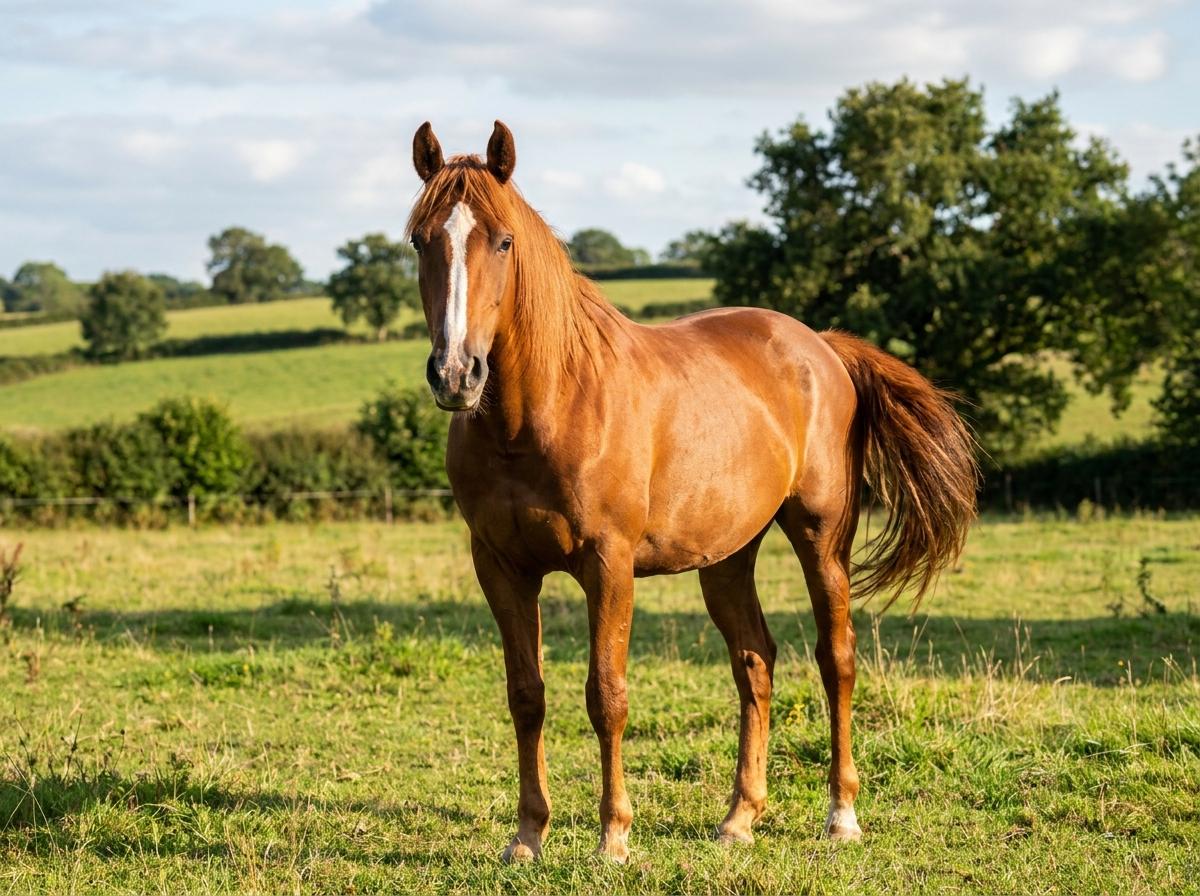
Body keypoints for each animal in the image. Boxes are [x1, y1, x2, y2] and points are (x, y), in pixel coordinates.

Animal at [405, 120, 978, 863]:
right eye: (421, 240)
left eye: (502, 241)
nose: (456, 374)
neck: (546, 408)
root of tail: (821, 347)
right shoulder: (500, 567)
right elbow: (526, 694)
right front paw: (528, 835)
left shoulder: (608, 564)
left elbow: (607, 695)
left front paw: (614, 836)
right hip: (728, 557)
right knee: (755, 662)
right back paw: (740, 817)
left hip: (822, 538)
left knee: (837, 659)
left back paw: (841, 814)